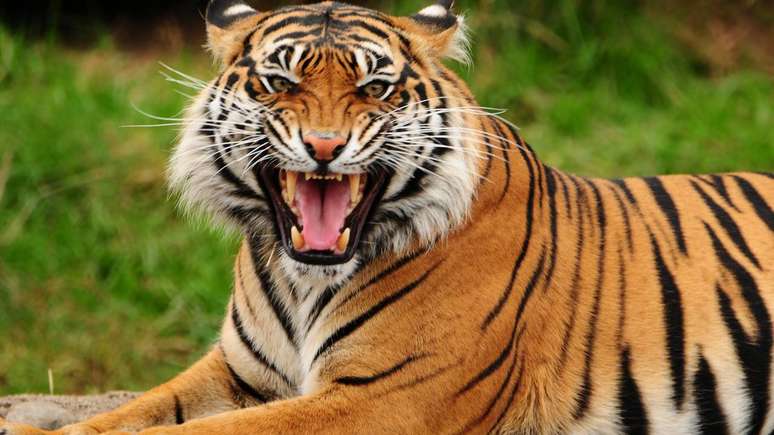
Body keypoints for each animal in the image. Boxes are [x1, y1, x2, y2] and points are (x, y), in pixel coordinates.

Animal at [3, 0, 773, 434]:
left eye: (374, 87)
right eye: (279, 82)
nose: (324, 146)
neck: (302, 280)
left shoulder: (382, 399)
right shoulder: (240, 375)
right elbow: (137, 412)